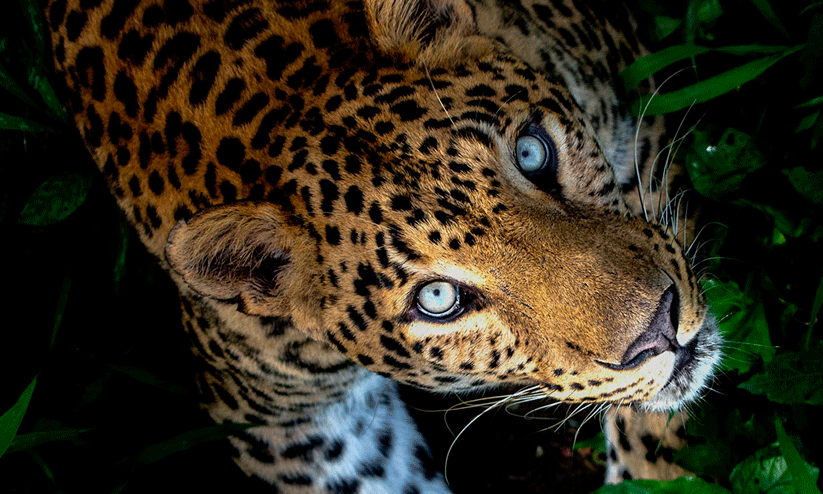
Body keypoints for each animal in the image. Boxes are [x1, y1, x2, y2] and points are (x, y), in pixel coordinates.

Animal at [47, 0, 722, 491]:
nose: (659, 330)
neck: (282, 103)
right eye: (439, 300)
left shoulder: (644, 153)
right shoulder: (287, 426)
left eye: (533, 152)